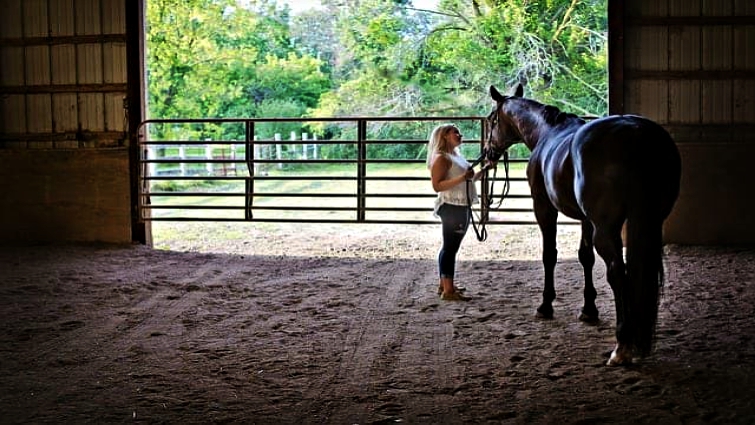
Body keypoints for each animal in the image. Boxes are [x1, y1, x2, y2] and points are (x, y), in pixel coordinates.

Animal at [483, 84, 681, 365]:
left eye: (491, 119)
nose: (488, 153)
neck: (547, 131)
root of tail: (636, 133)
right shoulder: (586, 220)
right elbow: (585, 257)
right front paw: (589, 310)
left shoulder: (543, 208)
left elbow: (549, 255)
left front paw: (545, 306)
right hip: (650, 222)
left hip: (607, 230)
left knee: (617, 273)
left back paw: (622, 346)